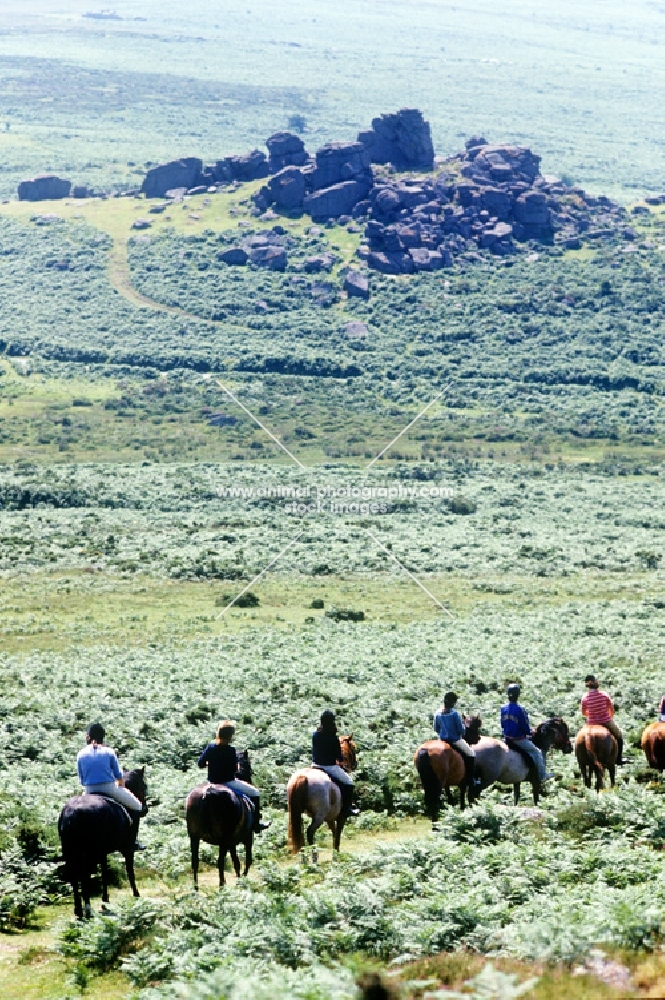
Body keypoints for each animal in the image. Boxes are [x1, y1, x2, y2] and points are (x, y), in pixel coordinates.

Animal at [58, 764, 147, 920]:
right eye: (144, 785)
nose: (145, 810)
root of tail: (72, 812)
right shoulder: (128, 848)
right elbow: (130, 871)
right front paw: (136, 895)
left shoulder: (102, 852)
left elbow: (104, 873)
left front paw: (105, 900)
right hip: (89, 853)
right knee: (84, 876)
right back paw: (87, 909)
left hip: (71, 852)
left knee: (74, 877)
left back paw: (78, 910)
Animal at [188, 748, 258, 888]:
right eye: (249, 765)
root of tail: (207, 793)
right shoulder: (247, 837)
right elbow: (247, 859)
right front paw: (242, 879)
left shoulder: (232, 842)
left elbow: (236, 861)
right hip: (224, 838)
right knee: (220, 861)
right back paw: (222, 886)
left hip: (195, 837)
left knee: (195, 861)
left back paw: (196, 888)